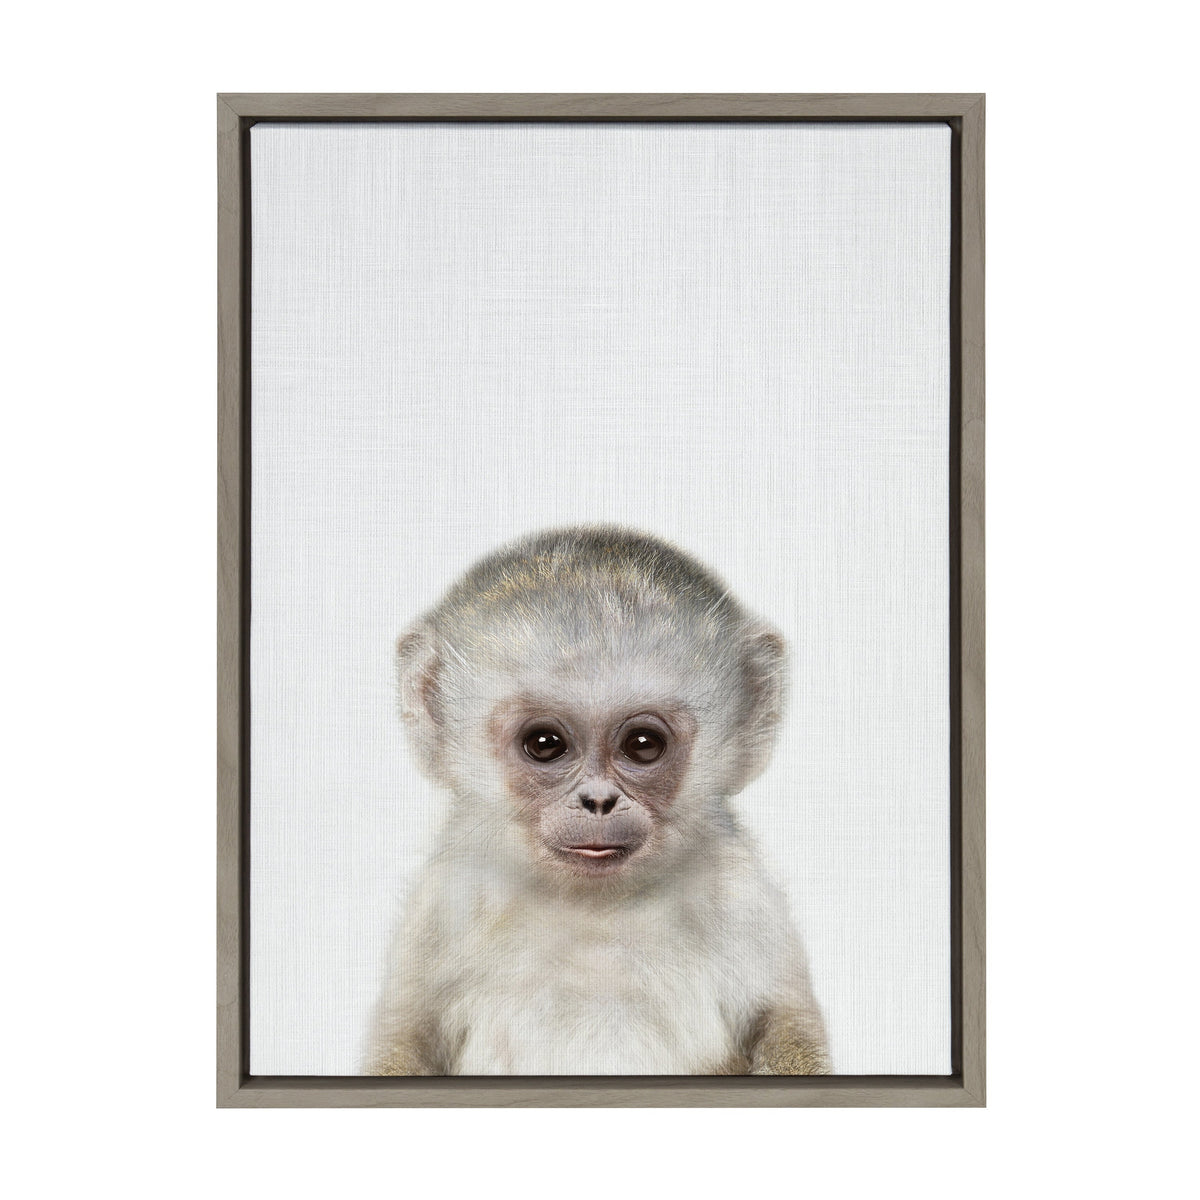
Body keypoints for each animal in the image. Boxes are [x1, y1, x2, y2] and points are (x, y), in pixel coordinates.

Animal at [366, 525, 829, 1076]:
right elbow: (405, 1039)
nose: (599, 801)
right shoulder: (444, 900)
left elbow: (785, 1024)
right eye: (544, 744)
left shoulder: (742, 893)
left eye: (643, 745)